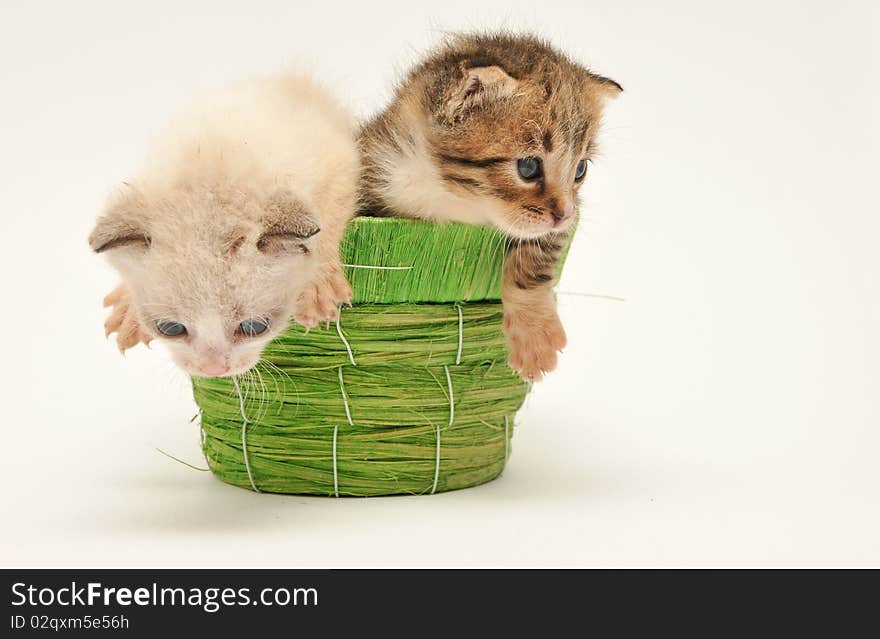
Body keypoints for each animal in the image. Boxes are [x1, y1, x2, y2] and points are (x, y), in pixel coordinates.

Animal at [91, 73, 360, 378]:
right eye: (170, 328)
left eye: (255, 327)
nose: (213, 369)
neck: (213, 166)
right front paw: (129, 309)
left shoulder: (338, 162)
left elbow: (329, 219)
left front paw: (318, 283)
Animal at [358, 33, 620, 380]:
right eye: (528, 167)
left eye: (580, 169)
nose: (564, 215)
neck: (455, 199)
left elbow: (537, 253)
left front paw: (532, 330)